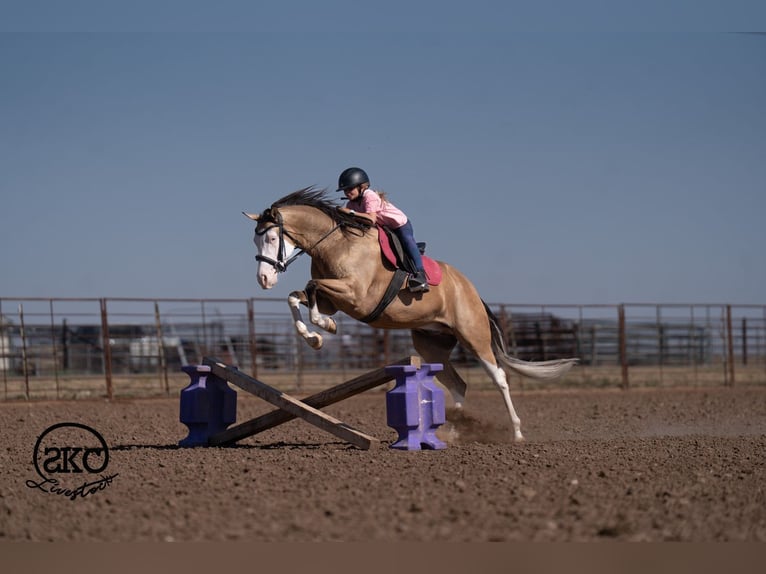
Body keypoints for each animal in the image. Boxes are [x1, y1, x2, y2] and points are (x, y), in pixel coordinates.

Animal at [244, 187, 578, 441]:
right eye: (255, 240)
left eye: (271, 239)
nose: (264, 279)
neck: (336, 244)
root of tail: (471, 291)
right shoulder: (333, 299)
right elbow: (297, 296)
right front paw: (314, 337)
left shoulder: (356, 297)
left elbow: (312, 291)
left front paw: (324, 328)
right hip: (432, 344)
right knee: (458, 384)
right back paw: (453, 426)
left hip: (473, 336)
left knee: (499, 378)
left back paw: (516, 433)